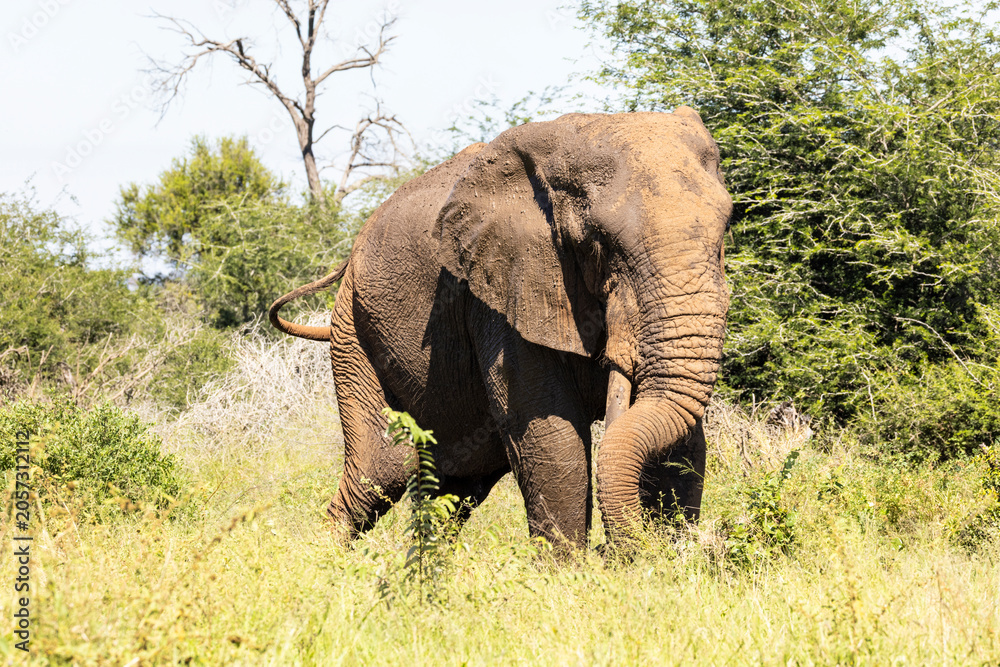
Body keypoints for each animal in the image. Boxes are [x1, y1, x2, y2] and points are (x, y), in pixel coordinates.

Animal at [270, 108, 731, 549]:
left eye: (726, 228)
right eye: (598, 243)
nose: (618, 552)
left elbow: (684, 443)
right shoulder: (499, 294)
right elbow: (553, 440)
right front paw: (569, 574)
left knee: (455, 482)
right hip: (353, 328)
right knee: (384, 468)